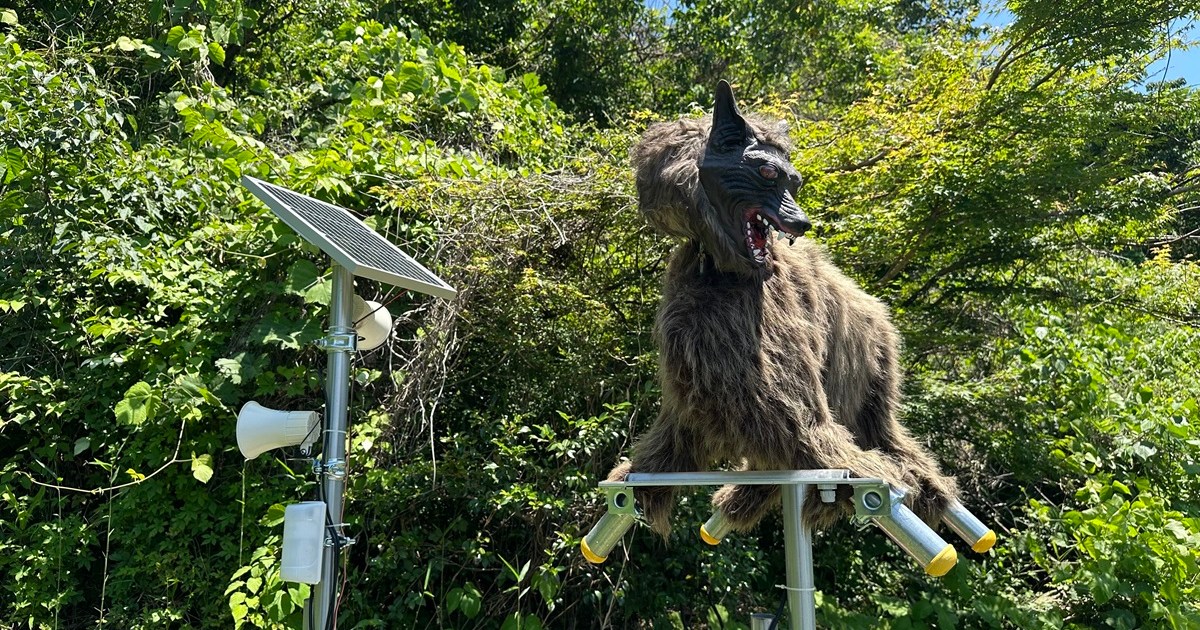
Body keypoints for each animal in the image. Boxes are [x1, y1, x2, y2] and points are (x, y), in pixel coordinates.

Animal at [607, 81, 958, 536]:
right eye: (768, 174)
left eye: (796, 182)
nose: (803, 223)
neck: (720, 272)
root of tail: (877, 310)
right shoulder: (695, 386)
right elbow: (669, 446)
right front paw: (640, 480)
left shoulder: (780, 380)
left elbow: (814, 440)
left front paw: (865, 473)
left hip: (873, 379)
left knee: (881, 433)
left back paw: (921, 481)